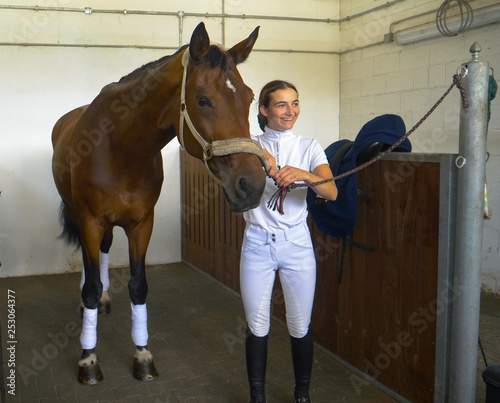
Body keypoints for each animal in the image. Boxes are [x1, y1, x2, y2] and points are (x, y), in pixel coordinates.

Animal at [51, 22, 270, 386]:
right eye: (202, 100)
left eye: (250, 97)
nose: (251, 185)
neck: (119, 149)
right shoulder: (90, 221)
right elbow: (91, 288)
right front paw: (88, 359)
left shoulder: (142, 223)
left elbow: (138, 287)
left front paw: (142, 355)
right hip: (78, 215)